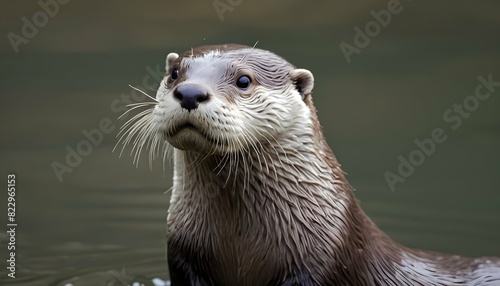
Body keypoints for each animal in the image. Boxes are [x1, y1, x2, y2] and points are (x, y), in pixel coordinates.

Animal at [116, 43, 500, 284]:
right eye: (175, 73)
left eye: (244, 80)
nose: (190, 92)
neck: (238, 241)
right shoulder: (185, 259)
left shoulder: (321, 262)